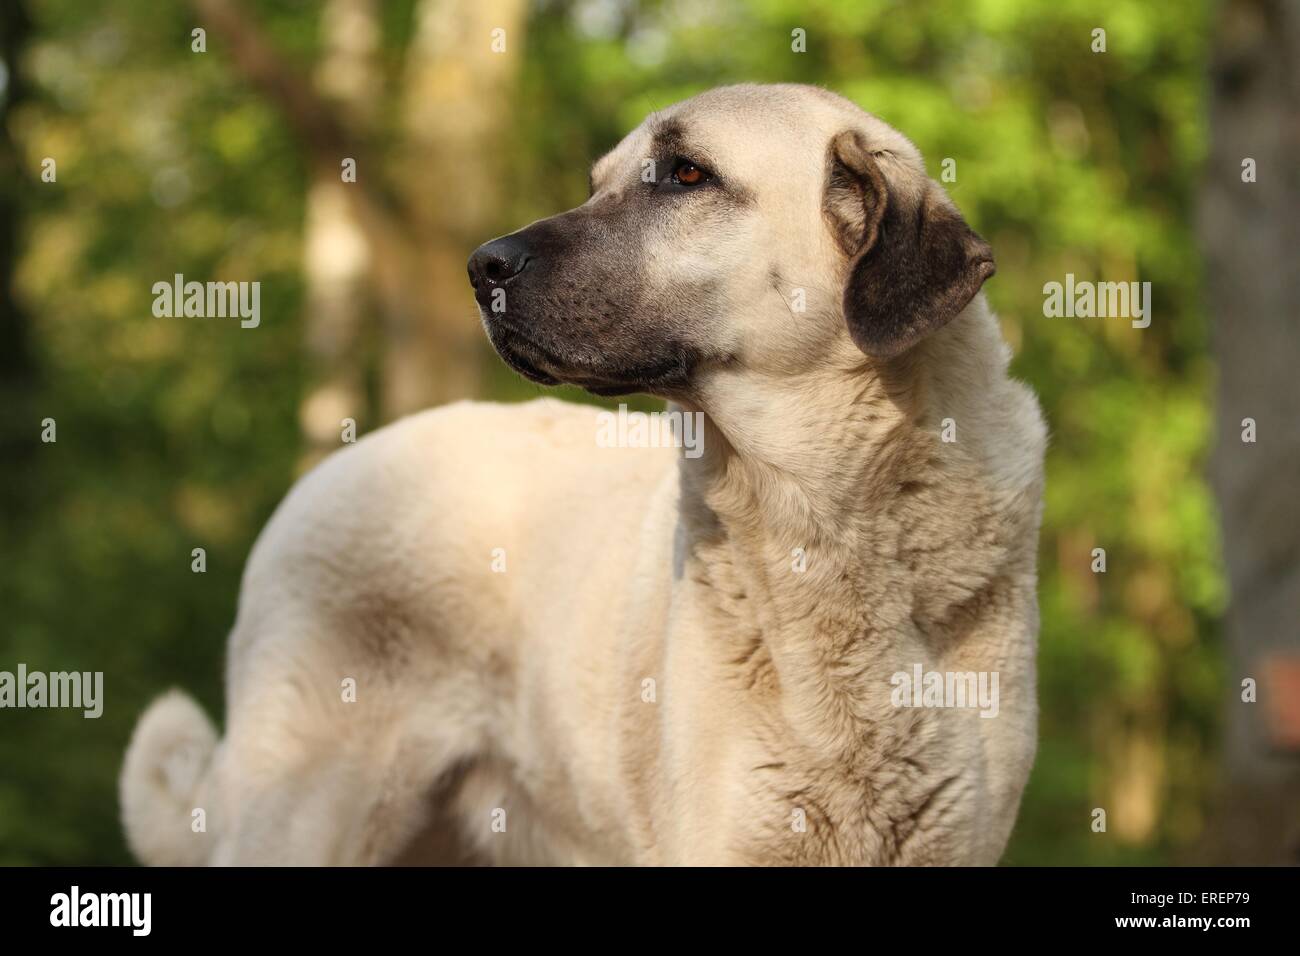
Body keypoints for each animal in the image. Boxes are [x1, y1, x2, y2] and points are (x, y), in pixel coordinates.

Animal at [122, 83, 1045, 868]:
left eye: (686, 174)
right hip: (305, 814)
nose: (482, 266)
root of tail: (332, 470)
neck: (819, 517)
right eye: (599, 184)